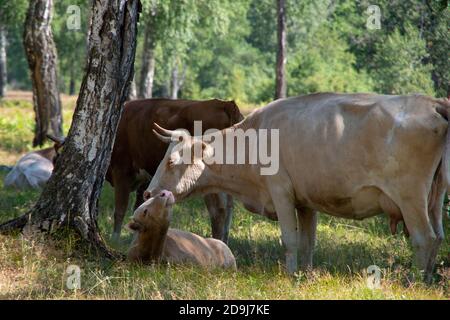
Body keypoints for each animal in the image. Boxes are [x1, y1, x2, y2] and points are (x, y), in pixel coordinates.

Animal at [106, 98, 244, 242]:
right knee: (229, 208)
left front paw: (114, 241)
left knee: (218, 211)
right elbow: (140, 207)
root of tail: (226, 104)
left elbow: (120, 209)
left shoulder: (121, 170)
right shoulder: (145, 180)